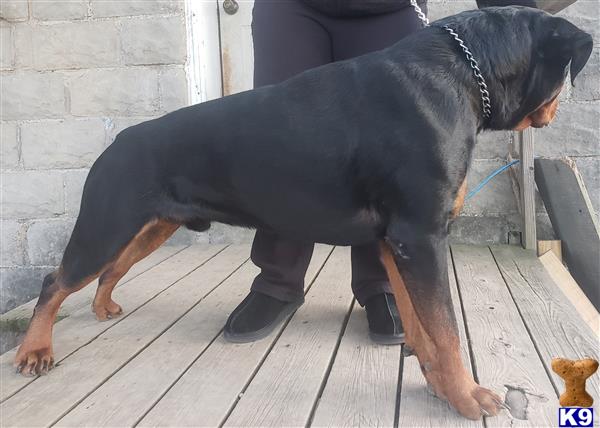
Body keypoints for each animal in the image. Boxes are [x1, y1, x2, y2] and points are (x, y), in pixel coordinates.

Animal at [16, 6, 592, 420]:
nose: (558, 107)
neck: (466, 75)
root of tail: (118, 142)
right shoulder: (422, 235)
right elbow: (446, 329)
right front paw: (467, 396)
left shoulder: (397, 240)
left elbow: (419, 321)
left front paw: (435, 380)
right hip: (107, 224)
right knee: (55, 281)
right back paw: (35, 350)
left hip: (150, 227)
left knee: (109, 270)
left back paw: (103, 306)